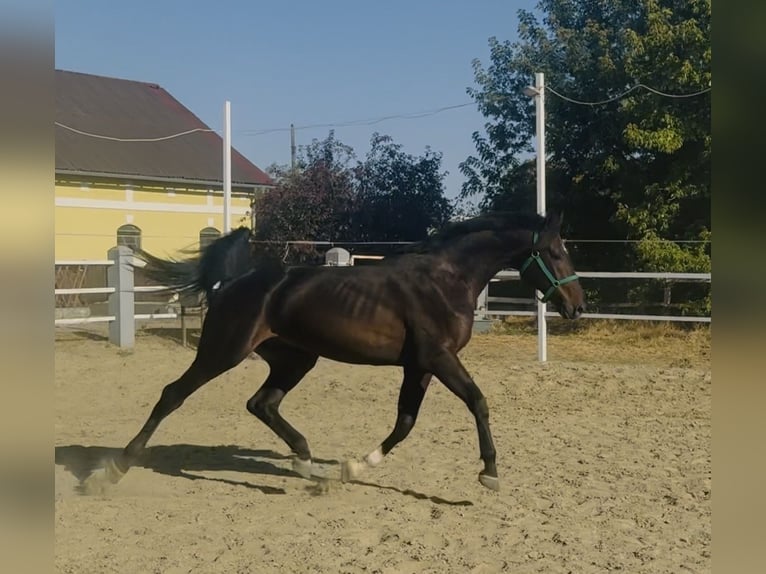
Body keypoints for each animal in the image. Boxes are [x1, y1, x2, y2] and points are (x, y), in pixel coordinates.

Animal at [84, 211, 585, 494]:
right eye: (557, 252)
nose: (577, 306)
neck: (445, 280)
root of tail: (234, 282)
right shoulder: (439, 359)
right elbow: (477, 402)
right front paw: (490, 473)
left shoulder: (419, 366)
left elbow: (405, 423)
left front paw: (352, 467)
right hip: (222, 351)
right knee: (173, 394)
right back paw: (112, 471)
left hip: (296, 358)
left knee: (261, 403)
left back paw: (306, 462)